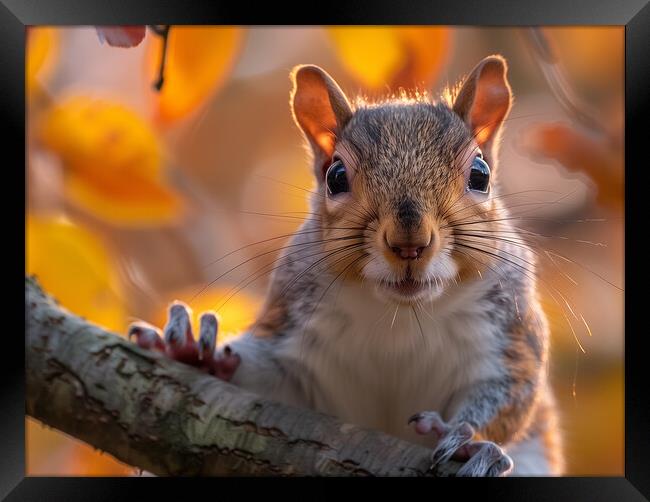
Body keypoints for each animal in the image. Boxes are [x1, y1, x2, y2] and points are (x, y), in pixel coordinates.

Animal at [128, 55, 560, 474]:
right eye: (335, 177)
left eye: (480, 175)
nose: (409, 242)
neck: (400, 316)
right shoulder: (293, 330)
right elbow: (265, 377)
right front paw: (192, 351)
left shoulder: (510, 336)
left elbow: (509, 396)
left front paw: (467, 438)